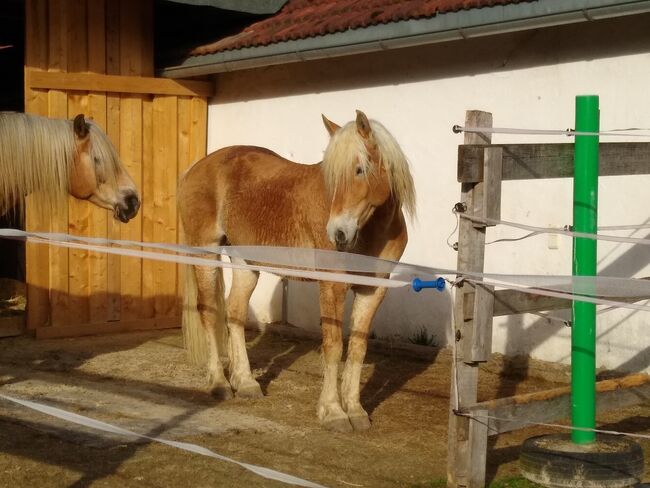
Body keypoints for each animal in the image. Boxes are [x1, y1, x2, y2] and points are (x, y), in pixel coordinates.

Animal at [176, 109, 416, 430]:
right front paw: (333, 412)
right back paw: (219, 384)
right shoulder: (332, 284)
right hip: (206, 253)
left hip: (245, 263)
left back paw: (246, 383)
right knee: (209, 312)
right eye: (331, 177)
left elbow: (357, 348)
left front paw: (355, 410)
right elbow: (333, 345)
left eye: (360, 170)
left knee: (235, 314)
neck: (372, 230)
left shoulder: (373, 289)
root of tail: (196, 167)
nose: (338, 234)